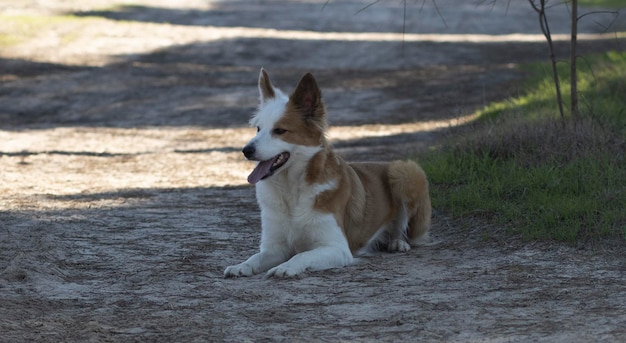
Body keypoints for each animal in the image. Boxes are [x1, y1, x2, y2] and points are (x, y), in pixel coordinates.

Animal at [222, 68, 432, 278]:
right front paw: (241, 266)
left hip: (405, 172)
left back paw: (398, 242)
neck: (292, 190)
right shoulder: (275, 247)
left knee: (406, 230)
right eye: (258, 129)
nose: (246, 150)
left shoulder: (336, 248)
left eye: (280, 130)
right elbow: (256, 257)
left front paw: (285, 267)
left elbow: (301, 255)